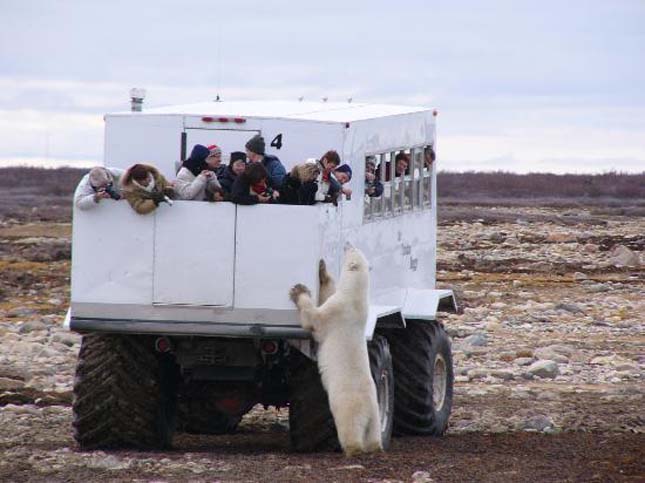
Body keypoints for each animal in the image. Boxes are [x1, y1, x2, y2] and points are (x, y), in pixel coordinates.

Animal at [288, 248, 382, 456]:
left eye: (351, 248)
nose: (345, 244)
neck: (356, 299)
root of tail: (368, 409)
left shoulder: (337, 311)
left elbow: (313, 319)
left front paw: (299, 290)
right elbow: (327, 295)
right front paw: (322, 271)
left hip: (349, 405)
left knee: (350, 427)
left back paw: (353, 449)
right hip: (376, 414)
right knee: (373, 433)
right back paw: (375, 447)